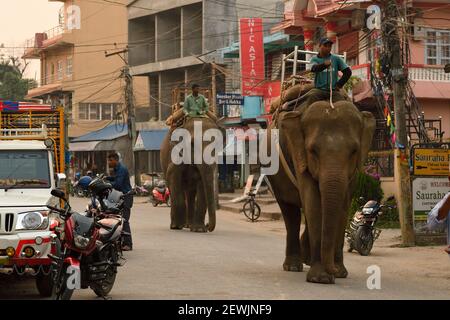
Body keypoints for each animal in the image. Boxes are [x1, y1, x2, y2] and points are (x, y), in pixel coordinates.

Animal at [266, 100, 374, 284]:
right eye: (313, 151)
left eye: (354, 151)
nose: (333, 270)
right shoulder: (299, 155)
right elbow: (313, 202)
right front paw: (321, 278)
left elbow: (344, 207)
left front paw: (340, 272)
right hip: (276, 178)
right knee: (291, 213)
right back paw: (293, 266)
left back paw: (306, 259)